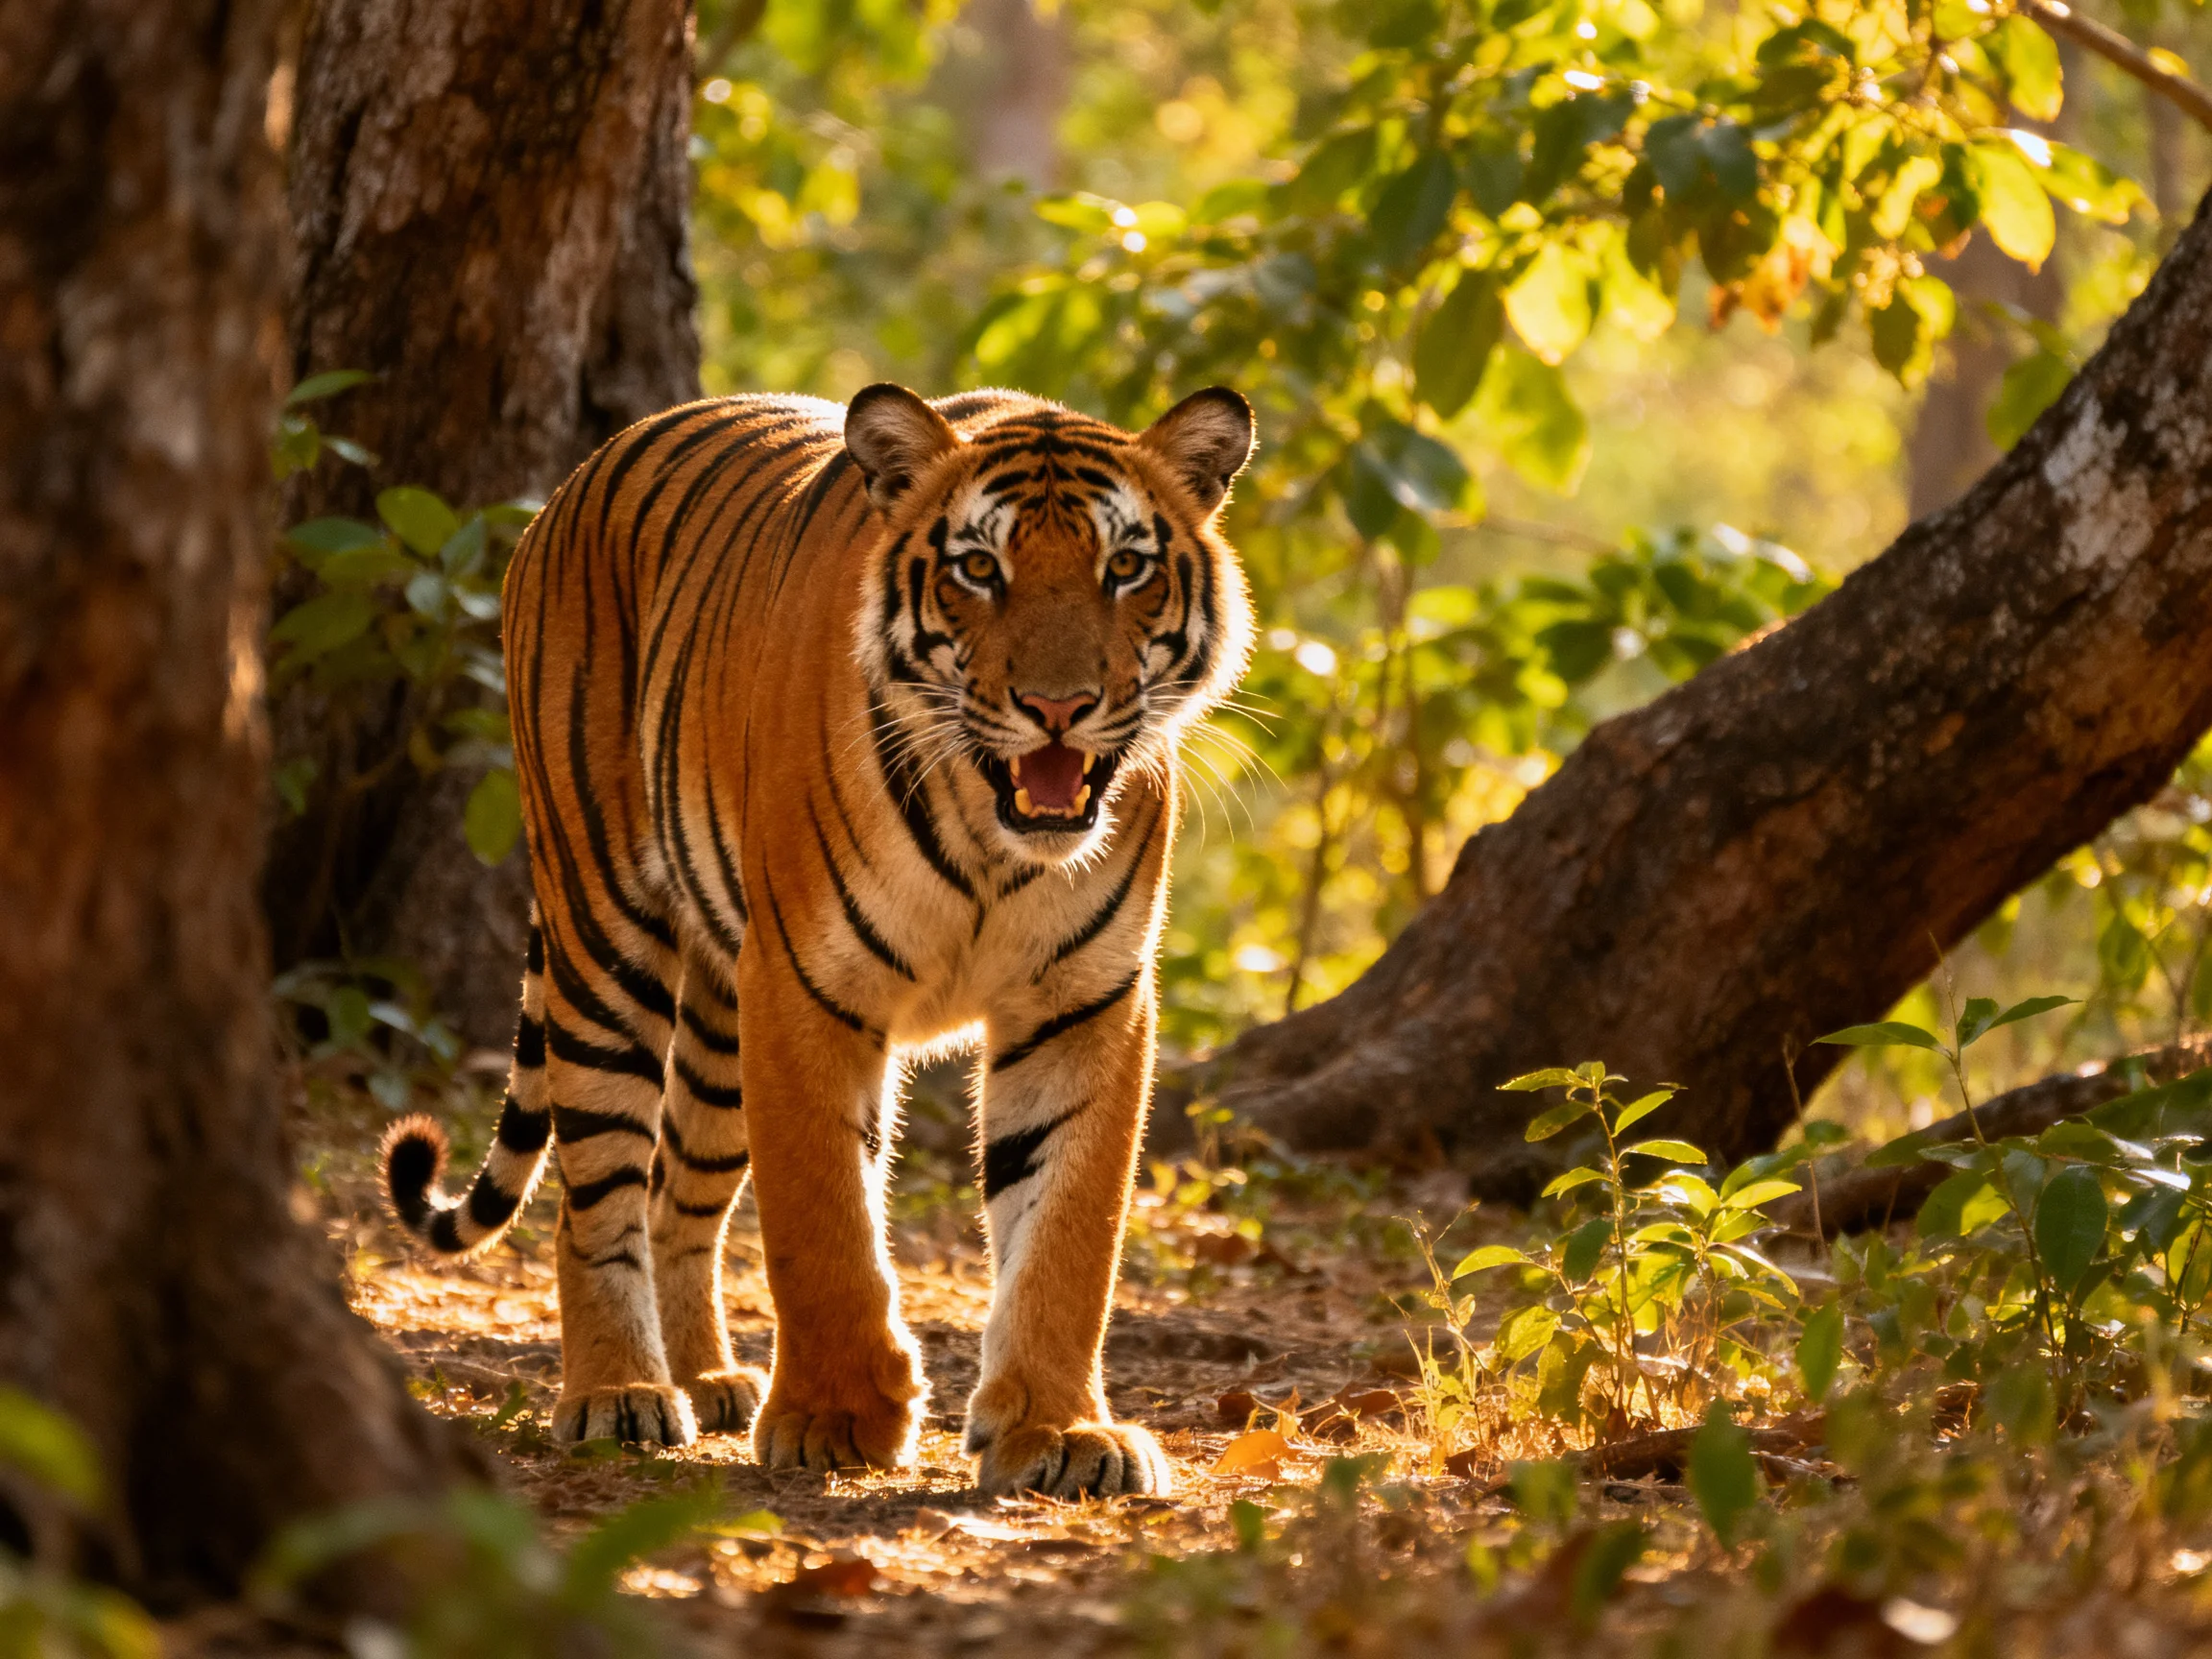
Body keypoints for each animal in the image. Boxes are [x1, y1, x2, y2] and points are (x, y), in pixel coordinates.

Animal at [381, 383, 1255, 1497]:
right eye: (980, 569)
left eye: (1127, 568)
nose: (1058, 708)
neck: (994, 841)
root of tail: (574, 482)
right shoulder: (806, 983)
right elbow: (821, 1219)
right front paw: (838, 1417)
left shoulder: (1085, 1001)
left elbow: (1068, 1231)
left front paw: (1059, 1431)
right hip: (602, 937)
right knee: (596, 1193)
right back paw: (619, 1394)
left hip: (718, 1017)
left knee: (675, 1190)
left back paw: (707, 1378)